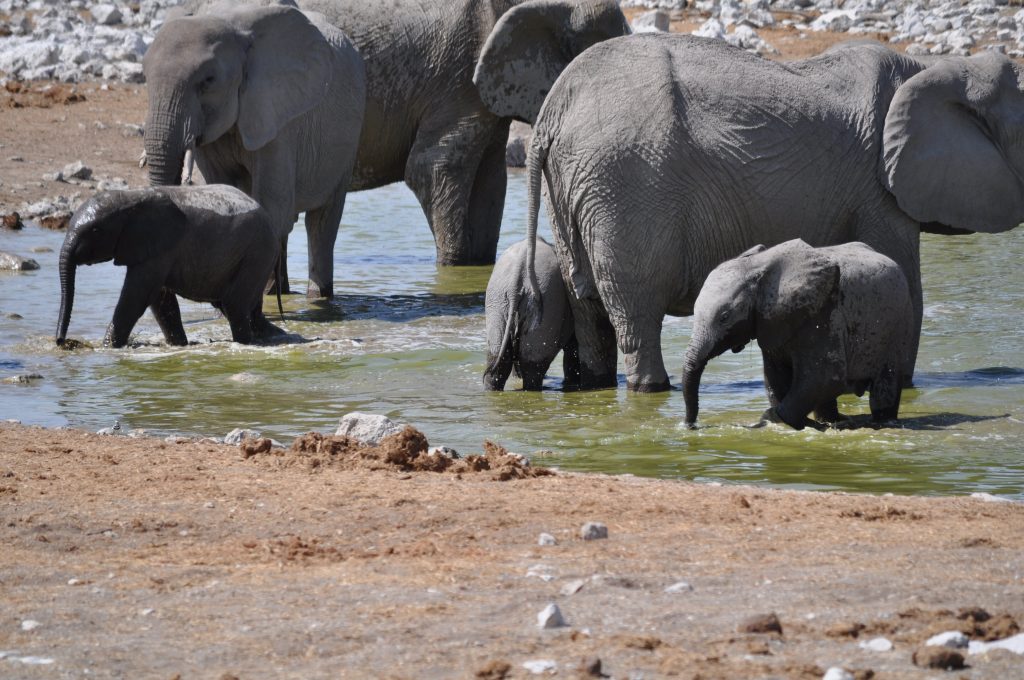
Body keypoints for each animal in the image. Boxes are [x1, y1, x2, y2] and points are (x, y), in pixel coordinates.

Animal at [56, 186, 283, 348]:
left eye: (95, 230)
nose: (61, 342)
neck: (130, 198)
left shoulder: (159, 247)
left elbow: (137, 296)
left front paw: (108, 347)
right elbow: (160, 301)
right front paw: (179, 345)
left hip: (258, 251)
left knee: (234, 304)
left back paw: (247, 343)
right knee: (237, 306)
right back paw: (273, 336)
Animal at [142, 3, 366, 298]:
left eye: (208, 80)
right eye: (144, 78)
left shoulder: (277, 116)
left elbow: (271, 202)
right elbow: (225, 195)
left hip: (347, 143)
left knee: (321, 224)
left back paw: (317, 297)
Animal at [523, 34, 1024, 392]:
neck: (930, 66)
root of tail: (551, 115)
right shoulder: (879, 189)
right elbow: (903, 284)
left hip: (578, 187)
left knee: (589, 308)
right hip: (628, 184)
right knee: (636, 311)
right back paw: (651, 389)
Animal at [681, 239, 914, 430]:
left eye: (724, 317)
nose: (690, 426)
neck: (757, 266)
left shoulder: (823, 313)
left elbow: (825, 377)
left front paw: (773, 420)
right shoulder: (772, 324)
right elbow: (775, 377)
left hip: (898, 325)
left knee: (884, 388)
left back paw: (882, 421)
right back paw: (832, 421)